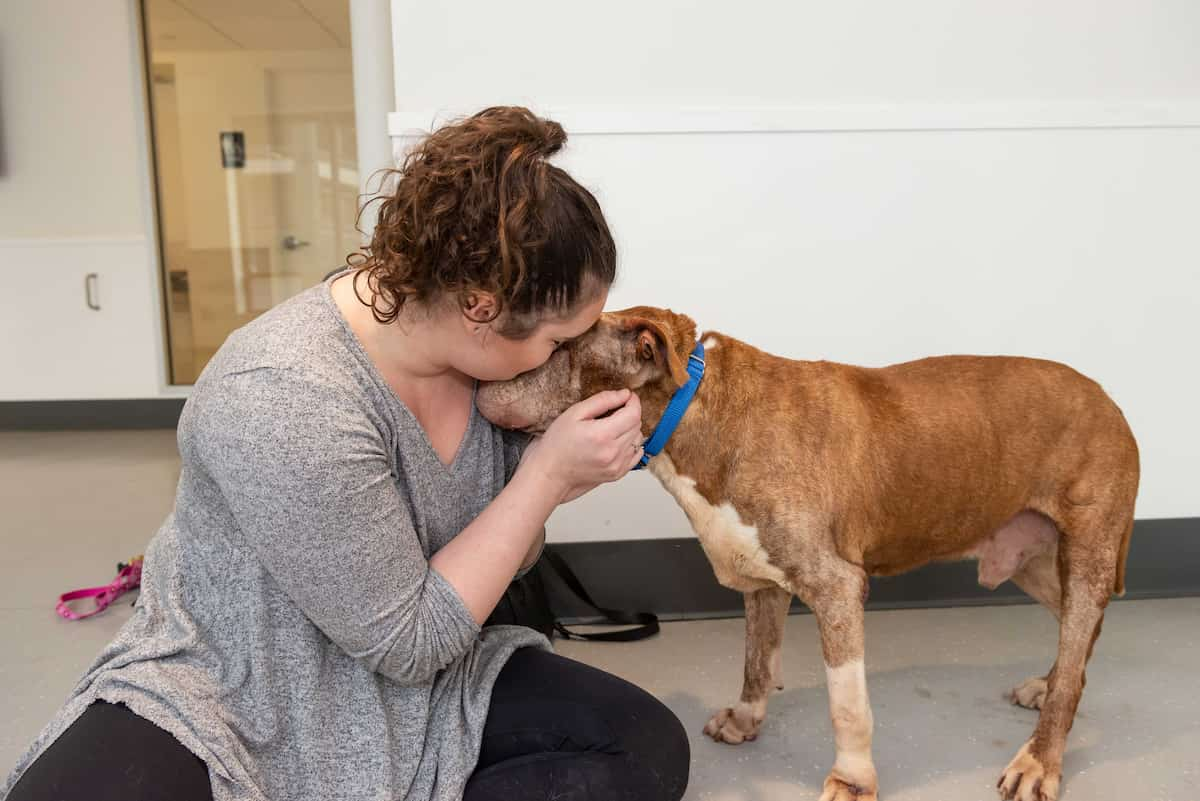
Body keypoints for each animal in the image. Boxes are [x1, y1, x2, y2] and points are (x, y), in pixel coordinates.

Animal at [472, 306, 1137, 801]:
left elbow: (848, 705)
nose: (479, 378)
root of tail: (1109, 399)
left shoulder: (836, 587)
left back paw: (1039, 760)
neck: (695, 413)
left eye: (559, 346)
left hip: (1087, 553)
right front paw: (746, 720)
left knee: (1079, 648)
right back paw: (1048, 685)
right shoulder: (763, 580)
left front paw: (853, 781)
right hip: (1034, 559)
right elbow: (756, 660)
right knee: (1081, 640)